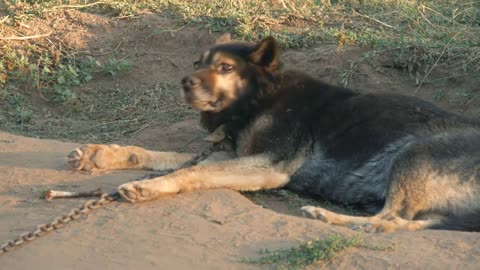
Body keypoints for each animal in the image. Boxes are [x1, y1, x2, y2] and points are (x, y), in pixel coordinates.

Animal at [67, 33, 480, 232]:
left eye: (226, 68)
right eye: (198, 63)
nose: (185, 82)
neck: (258, 97)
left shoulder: (267, 165)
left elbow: (195, 169)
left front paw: (150, 186)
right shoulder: (233, 152)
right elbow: (156, 154)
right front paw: (103, 155)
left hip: (415, 153)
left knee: (391, 220)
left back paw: (324, 216)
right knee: (406, 222)